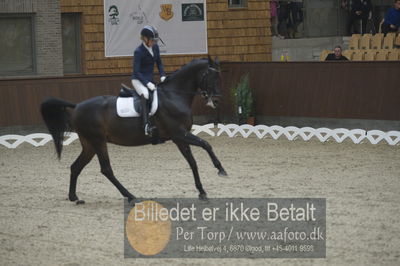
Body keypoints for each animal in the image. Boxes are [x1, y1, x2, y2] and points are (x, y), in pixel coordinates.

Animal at [41, 57, 228, 204]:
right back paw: (130, 196)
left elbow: (192, 162)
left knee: (76, 166)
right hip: (98, 141)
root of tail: (78, 105)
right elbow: (206, 144)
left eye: (219, 77)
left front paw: (202, 191)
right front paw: (220, 169)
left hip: (89, 144)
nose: (217, 101)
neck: (174, 95)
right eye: (212, 77)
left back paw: (74, 197)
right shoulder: (179, 133)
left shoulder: (180, 138)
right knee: (106, 169)